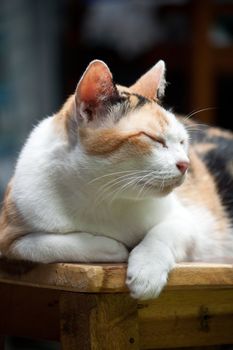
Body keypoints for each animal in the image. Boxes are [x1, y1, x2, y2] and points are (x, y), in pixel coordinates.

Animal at [0, 58, 233, 300]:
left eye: (182, 142)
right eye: (155, 139)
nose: (185, 164)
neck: (102, 195)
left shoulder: (188, 221)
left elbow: (162, 233)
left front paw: (146, 271)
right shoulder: (9, 240)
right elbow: (46, 244)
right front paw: (115, 248)